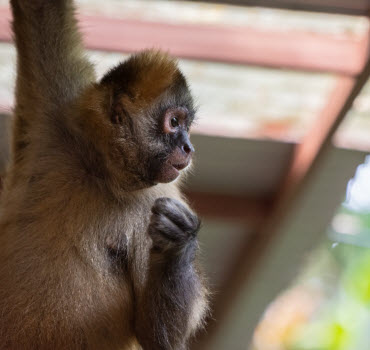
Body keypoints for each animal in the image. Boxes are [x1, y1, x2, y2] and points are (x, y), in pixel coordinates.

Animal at [0, 1, 208, 348]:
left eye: (187, 127)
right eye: (174, 123)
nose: (188, 147)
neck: (100, 170)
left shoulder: (154, 195)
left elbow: (155, 336)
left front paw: (177, 246)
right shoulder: (56, 115)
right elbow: (41, 13)